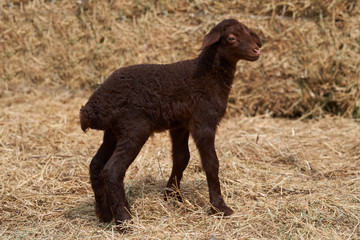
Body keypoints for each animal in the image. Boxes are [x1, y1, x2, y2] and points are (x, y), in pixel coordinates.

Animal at [80, 19, 262, 229]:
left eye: (249, 33)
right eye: (231, 38)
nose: (256, 50)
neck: (209, 74)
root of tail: (93, 106)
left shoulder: (180, 125)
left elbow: (182, 158)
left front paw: (172, 196)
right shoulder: (203, 121)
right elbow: (211, 163)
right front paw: (220, 207)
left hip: (113, 131)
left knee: (96, 165)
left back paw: (105, 214)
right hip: (134, 127)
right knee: (112, 170)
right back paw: (125, 221)